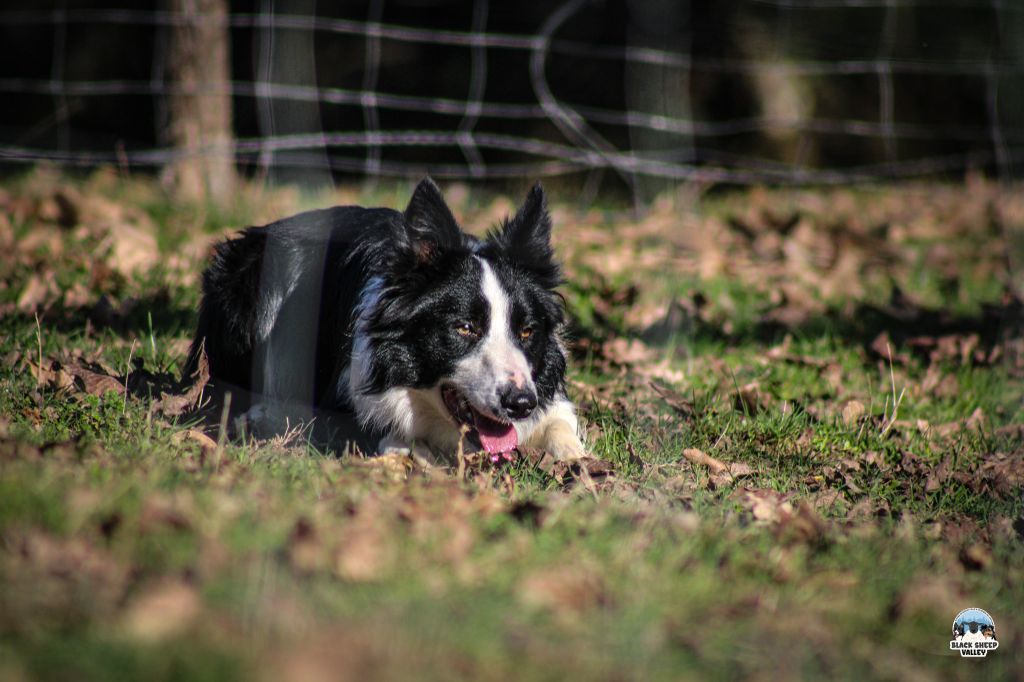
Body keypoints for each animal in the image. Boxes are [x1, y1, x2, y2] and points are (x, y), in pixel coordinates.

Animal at [184, 178, 585, 458]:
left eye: (527, 331)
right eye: (465, 328)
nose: (521, 403)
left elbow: (562, 425)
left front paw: (577, 464)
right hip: (254, 278)